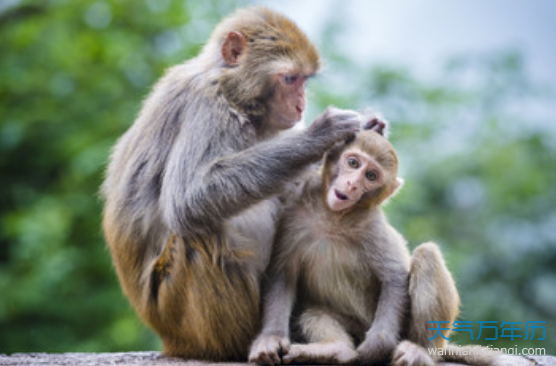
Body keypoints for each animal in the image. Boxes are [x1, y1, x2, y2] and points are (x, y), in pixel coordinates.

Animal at [101, 7, 360, 362]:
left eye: (304, 80)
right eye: (289, 79)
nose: (301, 106)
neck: (233, 94)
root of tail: (170, 340)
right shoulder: (207, 107)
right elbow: (188, 197)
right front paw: (320, 136)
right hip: (185, 313)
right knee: (197, 232)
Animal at [250, 116, 458, 364]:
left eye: (371, 176)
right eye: (353, 163)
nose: (352, 184)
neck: (333, 218)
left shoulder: (372, 227)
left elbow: (394, 278)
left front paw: (378, 344)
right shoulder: (293, 217)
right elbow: (283, 275)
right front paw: (270, 338)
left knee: (426, 253)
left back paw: (421, 350)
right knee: (316, 312)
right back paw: (335, 349)